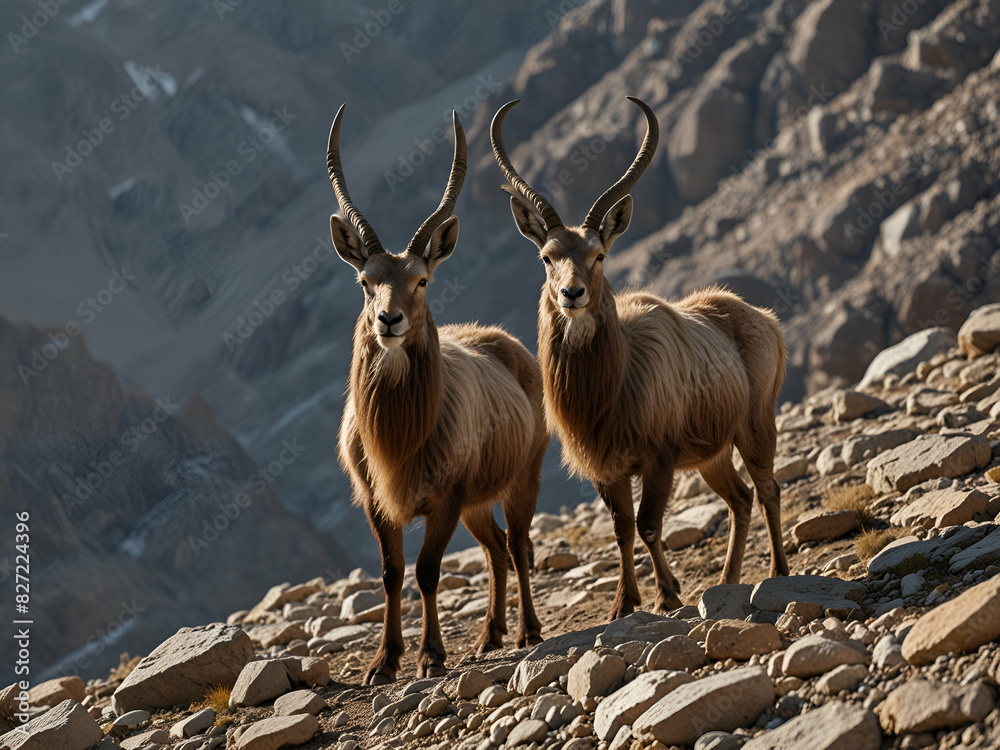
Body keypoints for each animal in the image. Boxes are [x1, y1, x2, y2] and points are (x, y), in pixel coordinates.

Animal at [328, 105, 547, 684]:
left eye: (422, 279)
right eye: (365, 281)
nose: (389, 320)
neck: (400, 435)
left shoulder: (445, 497)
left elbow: (427, 572)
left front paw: (430, 656)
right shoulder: (376, 502)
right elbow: (391, 572)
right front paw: (383, 663)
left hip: (520, 478)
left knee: (517, 545)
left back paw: (527, 631)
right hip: (477, 502)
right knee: (494, 549)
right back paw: (489, 636)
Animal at [491, 96, 789, 620]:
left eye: (599, 253)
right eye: (547, 256)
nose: (572, 294)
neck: (618, 378)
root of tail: (761, 318)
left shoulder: (658, 458)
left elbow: (649, 524)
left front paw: (667, 594)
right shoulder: (606, 469)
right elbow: (622, 530)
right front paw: (623, 604)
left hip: (754, 427)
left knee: (767, 488)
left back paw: (778, 570)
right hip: (713, 452)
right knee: (740, 497)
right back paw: (728, 580)